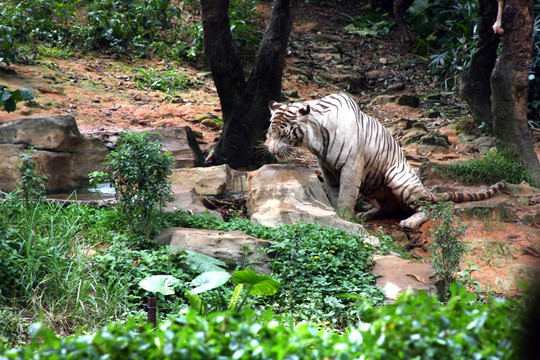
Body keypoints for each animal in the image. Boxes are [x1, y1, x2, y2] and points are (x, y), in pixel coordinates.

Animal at [266, 93, 506, 228]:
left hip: (398, 178)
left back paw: (409, 222)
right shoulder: (326, 168)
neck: (316, 139)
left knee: (427, 208)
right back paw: (366, 214)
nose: (271, 149)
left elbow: (346, 194)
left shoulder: (351, 166)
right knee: (389, 208)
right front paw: (335, 214)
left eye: (284, 134)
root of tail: (424, 189)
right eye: (270, 132)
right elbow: (334, 193)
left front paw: (343, 217)